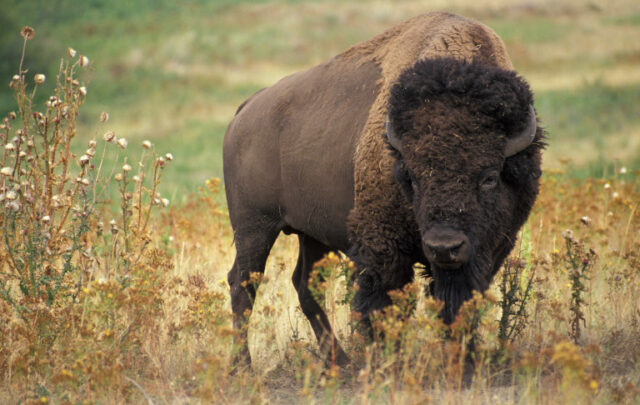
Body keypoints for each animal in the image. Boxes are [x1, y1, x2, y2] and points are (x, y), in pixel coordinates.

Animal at [223, 12, 544, 366]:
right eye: (412, 178)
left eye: (489, 177)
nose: (444, 247)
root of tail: (246, 109)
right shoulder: (383, 249)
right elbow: (383, 306)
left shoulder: (489, 251)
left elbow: (459, 305)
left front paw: (463, 360)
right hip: (254, 226)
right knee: (243, 284)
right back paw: (243, 365)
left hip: (311, 233)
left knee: (304, 284)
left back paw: (339, 362)